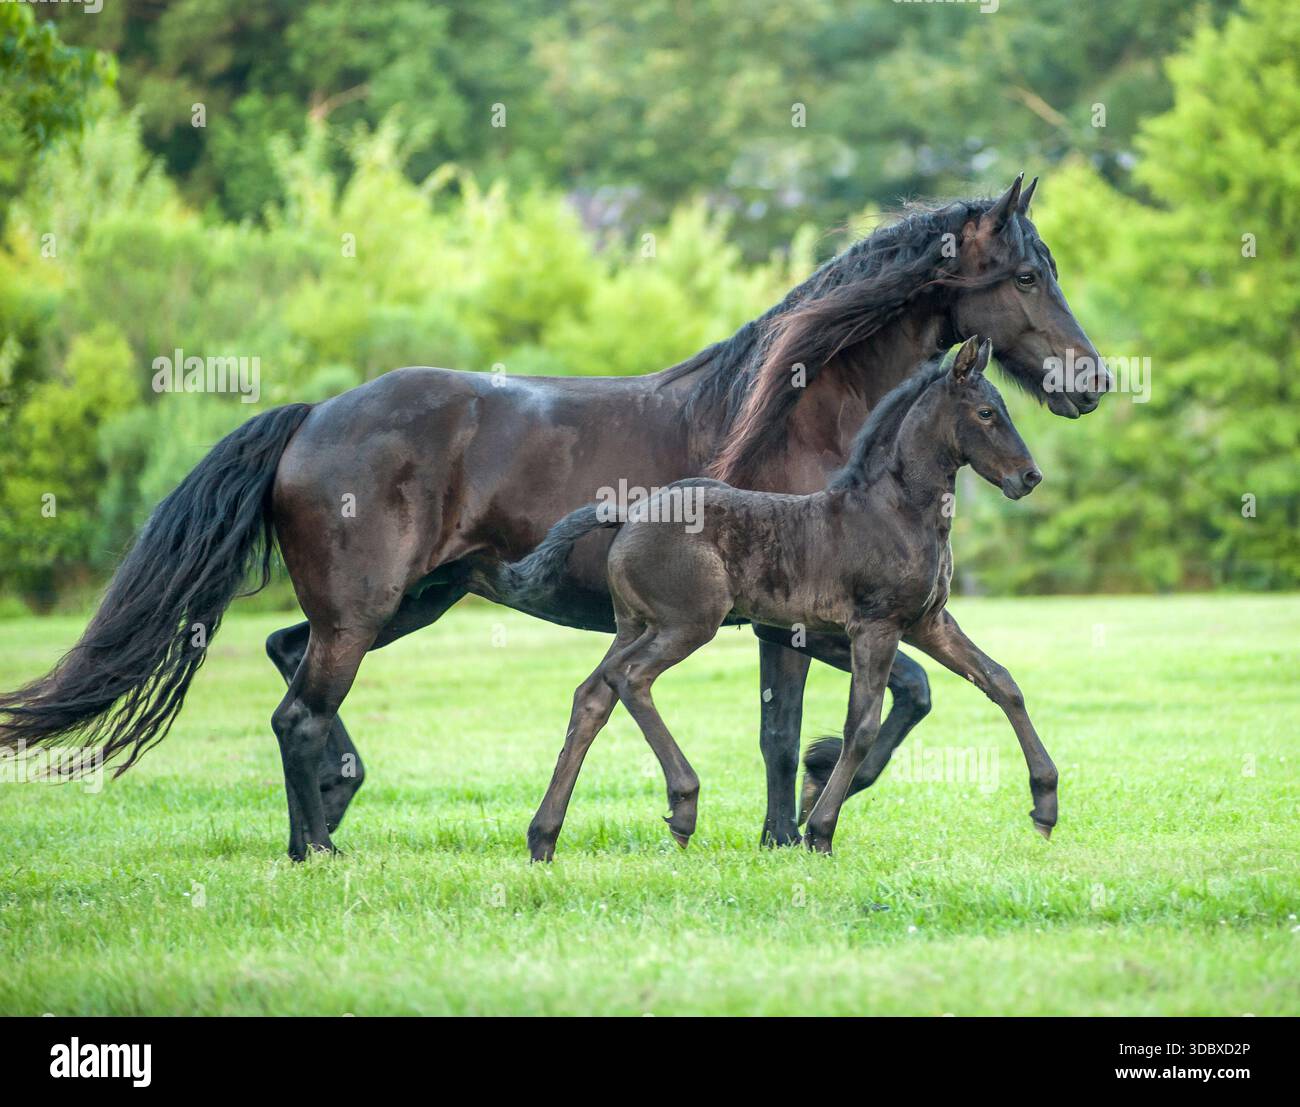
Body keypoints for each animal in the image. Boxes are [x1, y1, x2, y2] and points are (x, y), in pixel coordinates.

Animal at [478, 337, 1055, 859]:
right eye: (986, 413)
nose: (1029, 477)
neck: (895, 510)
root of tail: (630, 513)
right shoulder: (877, 625)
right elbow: (861, 726)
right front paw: (819, 830)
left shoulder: (929, 623)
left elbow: (1002, 683)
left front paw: (1046, 803)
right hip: (688, 624)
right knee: (631, 678)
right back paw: (683, 805)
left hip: (636, 624)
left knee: (593, 696)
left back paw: (543, 837)